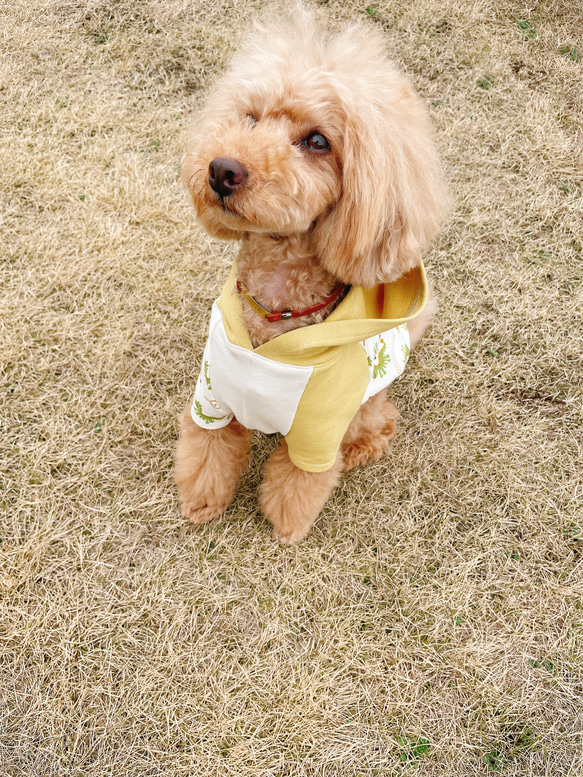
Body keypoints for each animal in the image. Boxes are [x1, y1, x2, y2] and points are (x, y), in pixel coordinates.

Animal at [173, 9, 448, 544]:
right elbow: (208, 449)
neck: (273, 310)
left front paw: (286, 527)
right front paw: (201, 502)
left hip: (364, 405)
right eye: (250, 118)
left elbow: (299, 481)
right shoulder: (211, 394)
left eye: (318, 141)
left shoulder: (319, 432)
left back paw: (361, 449)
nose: (222, 169)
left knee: (381, 422)